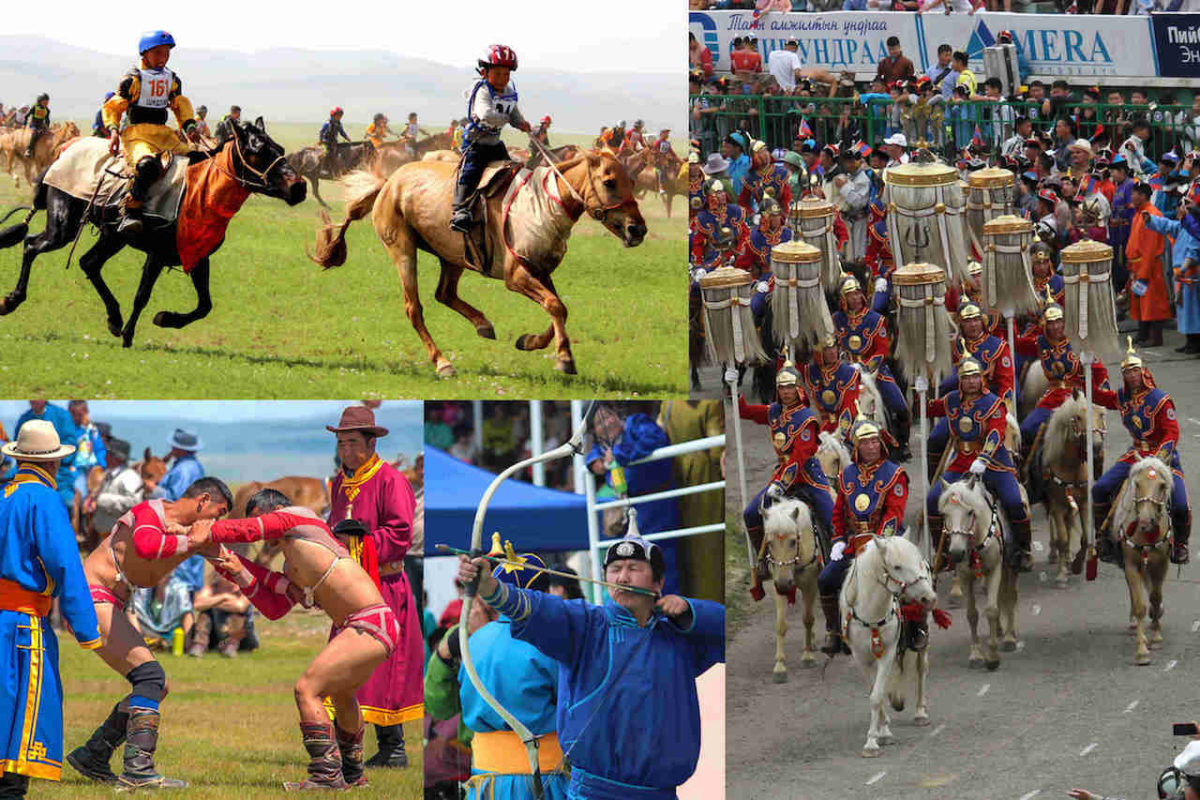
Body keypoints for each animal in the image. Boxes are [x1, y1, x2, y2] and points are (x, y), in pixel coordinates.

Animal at [0, 115, 304, 345]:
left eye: (279, 149)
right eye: (257, 151)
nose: (299, 187)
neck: (199, 192)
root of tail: (59, 157)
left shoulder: (197, 256)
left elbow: (204, 305)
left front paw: (165, 319)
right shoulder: (156, 255)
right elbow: (142, 295)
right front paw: (129, 335)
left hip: (113, 236)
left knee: (89, 263)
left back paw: (114, 318)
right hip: (63, 227)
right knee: (32, 245)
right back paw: (12, 300)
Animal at [763, 501, 820, 681]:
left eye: (793, 541)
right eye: (769, 543)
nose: (784, 583)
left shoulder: (810, 583)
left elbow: (807, 619)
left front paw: (807, 657)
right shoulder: (778, 587)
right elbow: (781, 624)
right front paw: (780, 666)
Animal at [844, 532, 936, 758]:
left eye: (916, 562)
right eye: (897, 566)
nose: (929, 598)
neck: (871, 614)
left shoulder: (887, 653)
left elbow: (877, 695)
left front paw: (873, 741)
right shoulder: (861, 658)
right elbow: (874, 692)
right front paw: (882, 730)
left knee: (921, 669)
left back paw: (920, 712)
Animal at [940, 474, 1017, 671]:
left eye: (969, 512)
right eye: (945, 514)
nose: (956, 553)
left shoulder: (995, 569)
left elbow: (991, 610)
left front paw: (992, 657)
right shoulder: (965, 576)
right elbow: (972, 614)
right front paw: (976, 655)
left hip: (1009, 567)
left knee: (1010, 596)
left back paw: (1009, 637)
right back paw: (999, 631)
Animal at [1041, 395, 1104, 587]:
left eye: (1100, 415)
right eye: (1077, 418)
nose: (1096, 446)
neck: (1071, 466)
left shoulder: (1084, 503)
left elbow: (1085, 537)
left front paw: (1077, 565)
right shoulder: (1057, 505)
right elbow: (1062, 539)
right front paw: (1062, 575)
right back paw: (1054, 553)